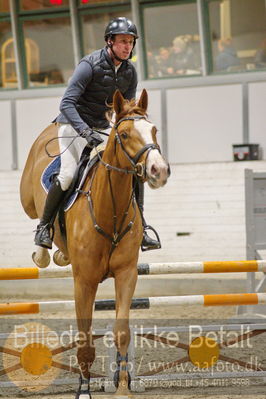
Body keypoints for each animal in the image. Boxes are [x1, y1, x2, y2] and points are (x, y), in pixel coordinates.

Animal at [20, 89, 170, 398]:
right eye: (123, 134)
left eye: (154, 130)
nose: (159, 170)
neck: (108, 209)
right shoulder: (84, 281)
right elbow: (84, 339)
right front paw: (84, 390)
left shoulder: (127, 274)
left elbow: (122, 332)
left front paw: (123, 388)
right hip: (28, 198)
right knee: (37, 214)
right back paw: (42, 247)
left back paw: (60, 255)